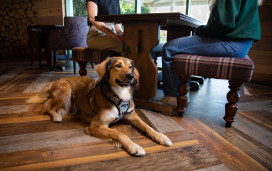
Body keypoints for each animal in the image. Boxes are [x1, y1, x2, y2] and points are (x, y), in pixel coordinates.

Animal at [27, 56, 172, 156]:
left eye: (131, 67)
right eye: (118, 66)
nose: (131, 76)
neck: (120, 95)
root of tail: (54, 84)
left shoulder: (132, 116)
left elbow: (147, 127)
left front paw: (161, 137)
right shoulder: (96, 125)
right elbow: (120, 134)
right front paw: (134, 147)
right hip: (66, 89)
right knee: (48, 105)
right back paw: (56, 116)